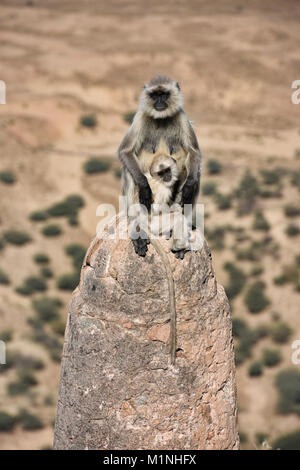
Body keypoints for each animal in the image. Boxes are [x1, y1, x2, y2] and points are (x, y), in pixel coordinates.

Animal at [118, 75, 202, 258]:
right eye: (154, 95)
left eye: (164, 94)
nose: (159, 102)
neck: (162, 118)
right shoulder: (140, 117)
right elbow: (126, 151)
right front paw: (144, 187)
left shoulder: (182, 117)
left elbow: (194, 152)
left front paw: (188, 187)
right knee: (129, 170)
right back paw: (137, 229)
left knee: (196, 172)